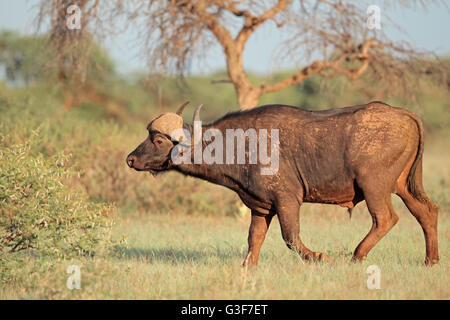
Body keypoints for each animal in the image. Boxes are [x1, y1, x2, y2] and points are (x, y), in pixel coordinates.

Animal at [126, 101, 440, 266]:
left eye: (158, 140)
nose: (130, 159)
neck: (241, 144)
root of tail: (404, 114)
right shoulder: (261, 207)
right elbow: (254, 239)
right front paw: (247, 267)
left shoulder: (288, 200)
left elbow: (291, 238)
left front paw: (319, 256)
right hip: (404, 186)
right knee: (427, 212)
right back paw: (431, 260)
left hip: (374, 186)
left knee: (385, 218)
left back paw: (356, 255)